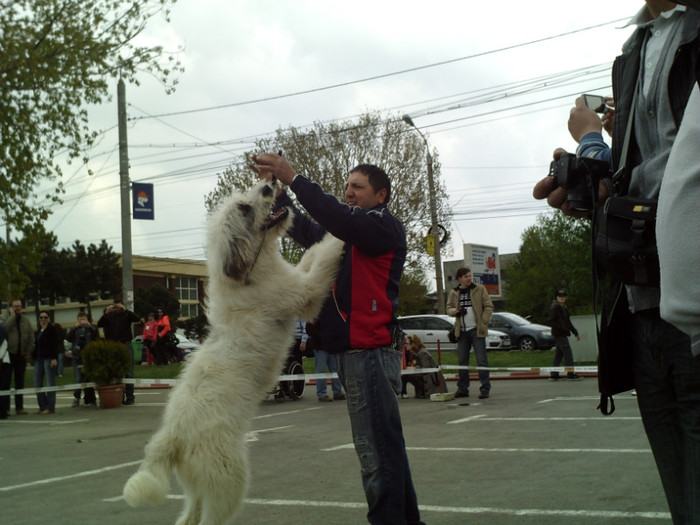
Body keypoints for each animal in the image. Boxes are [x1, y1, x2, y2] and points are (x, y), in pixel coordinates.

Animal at [121, 178, 344, 520]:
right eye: (244, 208)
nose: (269, 186)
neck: (250, 275)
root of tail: (171, 437)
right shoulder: (304, 293)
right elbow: (321, 258)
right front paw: (340, 234)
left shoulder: (295, 278)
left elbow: (310, 256)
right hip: (228, 478)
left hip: (199, 488)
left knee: (187, 519)